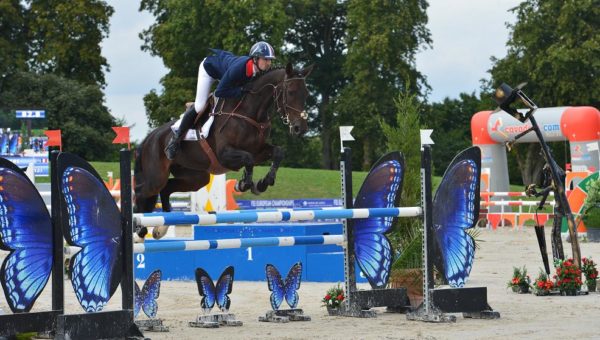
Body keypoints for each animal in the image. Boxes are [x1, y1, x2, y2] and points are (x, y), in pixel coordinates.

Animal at [134, 63, 314, 239]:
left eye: (306, 94)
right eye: (290, 92)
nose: (300, 128)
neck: (250, 112)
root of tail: (149, 138)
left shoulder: (258, 151)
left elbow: (277, 152)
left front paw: (263, 183)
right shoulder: (225, 155)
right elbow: (247, 159)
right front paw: (243, 185)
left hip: (196, 177)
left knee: (166, 189)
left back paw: (160, 229)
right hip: (156, 177)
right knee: (142, 193)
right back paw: (140, 230)